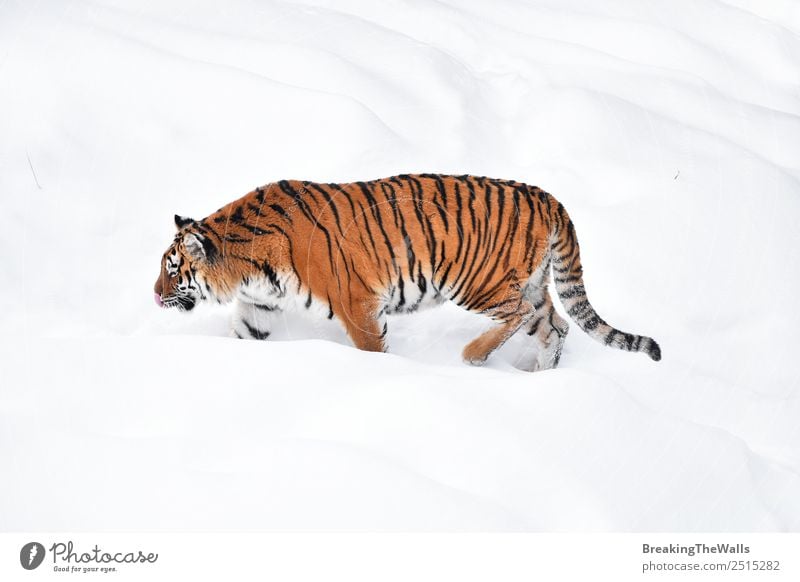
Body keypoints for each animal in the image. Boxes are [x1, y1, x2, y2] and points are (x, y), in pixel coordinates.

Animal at [153, 176, 660, 372]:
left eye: (173, 270)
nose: (155, 296)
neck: (250, 268)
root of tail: (547, 196)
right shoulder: (259, 306)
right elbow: (244, 337)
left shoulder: (357, 304)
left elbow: (372, 350)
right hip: (533, 286)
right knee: (556, 326)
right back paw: (541, 376)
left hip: (478, 282)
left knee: (518, 315)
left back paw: (473, 356)